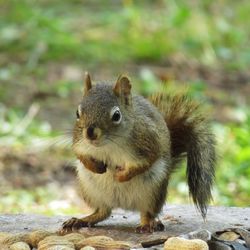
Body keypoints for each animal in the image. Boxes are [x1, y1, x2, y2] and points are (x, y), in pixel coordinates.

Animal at [60, 72, 215, 234]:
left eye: (116, 115)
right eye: (77, 113)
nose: (90, 133)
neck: (108, 145)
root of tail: (123, 205)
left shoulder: (148, 143)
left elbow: (145, 162)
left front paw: (121, 176)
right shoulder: (80, 142)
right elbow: (80, 154)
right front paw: (96, 167)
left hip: (153, 192)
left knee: (147, 213)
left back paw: (147, 224)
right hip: (91, 190)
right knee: (103, 212)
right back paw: (81, 220)